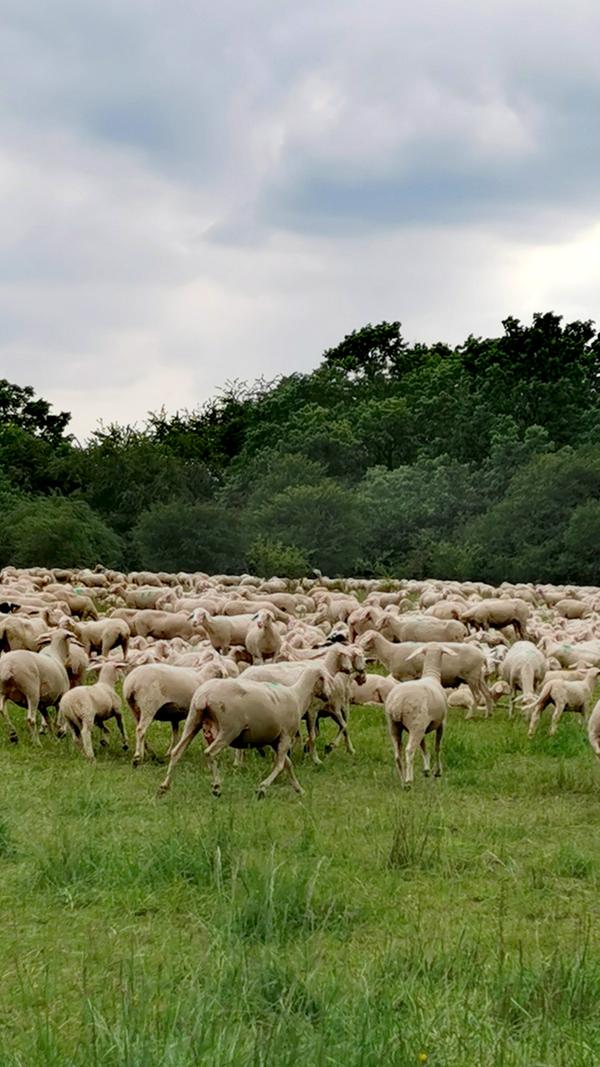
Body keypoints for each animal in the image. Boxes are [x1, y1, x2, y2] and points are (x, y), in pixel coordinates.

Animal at [157, 663, 333, 799]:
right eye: (326, 679)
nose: (329, 696)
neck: (298, 696)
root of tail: (204, 695)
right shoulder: (286, 736)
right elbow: (281, 764)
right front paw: (262, 788)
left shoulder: (275, 740)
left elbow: (288, 765)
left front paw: (299, 790)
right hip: (229, 728)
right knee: (210, 753)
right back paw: (216, 787)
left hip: (193, 720)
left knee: (176, 752)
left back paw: (164, 786)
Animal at [385, 644, 456, 785]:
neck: (431, 675)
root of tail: (398, 702)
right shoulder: (441, 723)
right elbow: (437, 747)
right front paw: (437, 771)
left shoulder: (424, 726)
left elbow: (423, 746)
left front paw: (427, 769)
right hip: (415, 723)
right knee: (409, 750)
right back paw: (409, 780)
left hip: (394, 725)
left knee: (397, 754)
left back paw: (402, 781)